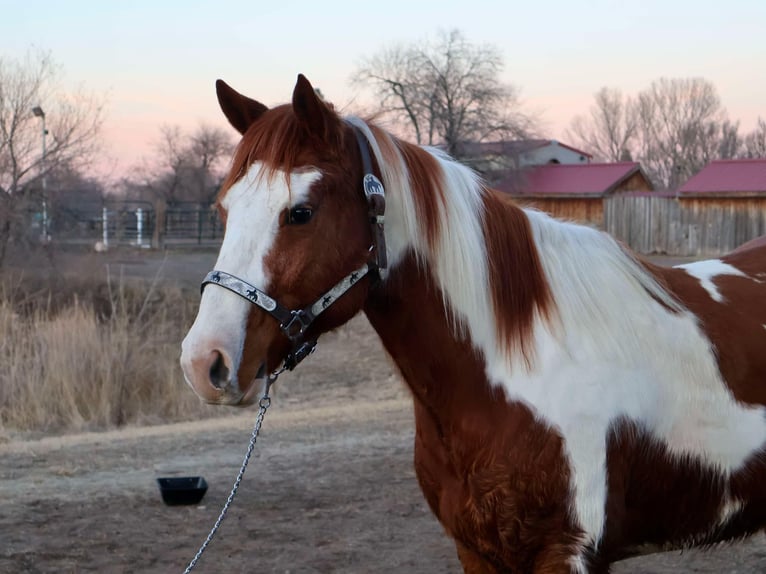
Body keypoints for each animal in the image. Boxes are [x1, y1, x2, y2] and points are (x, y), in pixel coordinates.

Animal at [182, 76, 766, 574]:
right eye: (224, 209)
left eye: (300, 212)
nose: (205, 361)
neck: (521, 369)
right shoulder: (477, 549)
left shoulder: (568, 553)